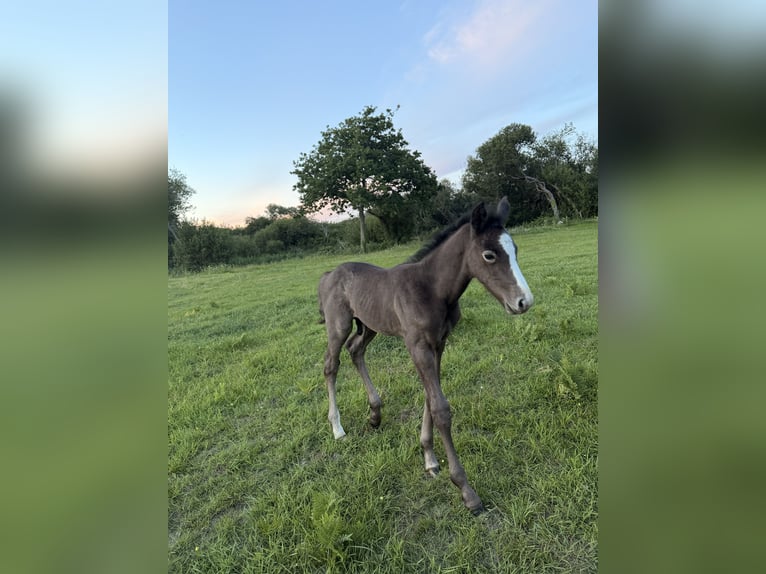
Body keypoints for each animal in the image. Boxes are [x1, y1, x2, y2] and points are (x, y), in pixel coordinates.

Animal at [317, 196, 534, 514]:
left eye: (515, 250)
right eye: (489, 255)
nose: (524, 301)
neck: (432, 290)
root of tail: (328, 274)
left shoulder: (438, 343)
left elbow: (430, 399)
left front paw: (430, 460)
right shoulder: (417, 345)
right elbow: (440, 408)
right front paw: (466, 491)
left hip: (369, 325)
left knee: (356, 351)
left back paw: (375, 414)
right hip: (339, 325)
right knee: (331, 365)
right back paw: (337, 428)